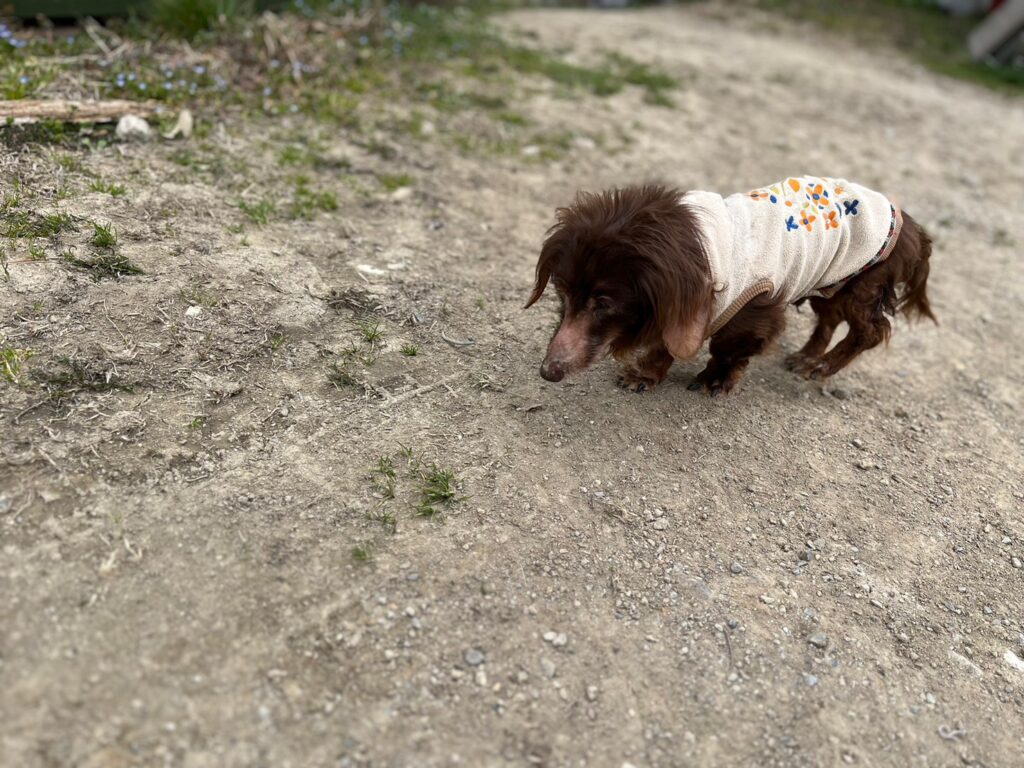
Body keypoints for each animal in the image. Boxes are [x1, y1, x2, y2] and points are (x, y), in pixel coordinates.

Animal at [526, 176, 935, 395]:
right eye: (563, 293)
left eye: (604, 302)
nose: (548, 372)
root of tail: (914, 228)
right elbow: (665, 342)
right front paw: (645, 376)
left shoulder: (755, 306)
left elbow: (727, 347)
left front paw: (714, 380)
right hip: (831, 282)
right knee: (829, 320)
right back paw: (805, 357)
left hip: (861, 284)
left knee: (870, 331)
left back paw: (820, 367)